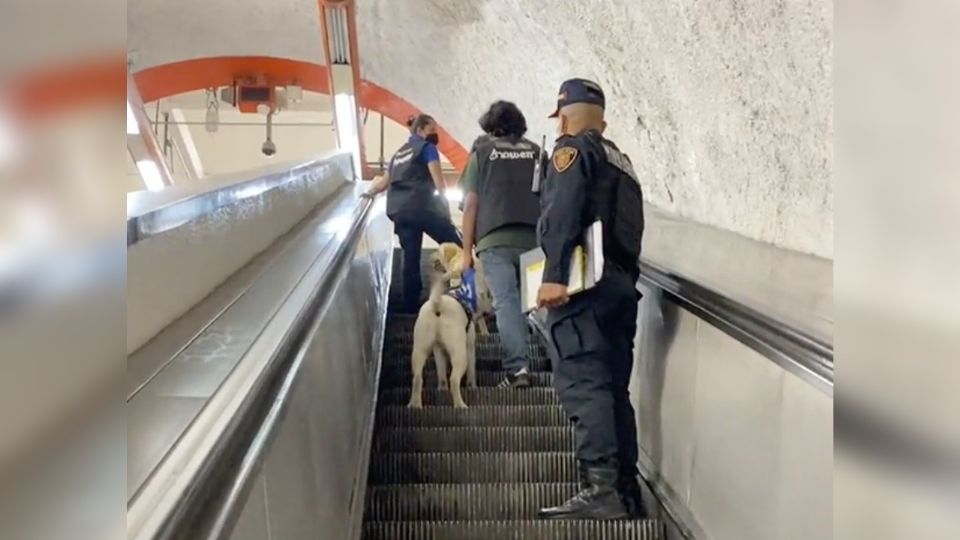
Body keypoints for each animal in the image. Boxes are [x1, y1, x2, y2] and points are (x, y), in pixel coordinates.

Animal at [408, 243, 492, 408]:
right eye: (487, 296)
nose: (488, 312)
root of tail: (437, 305)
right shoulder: (469, 347)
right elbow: (472, 371)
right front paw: (472, 387)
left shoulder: (438, 350)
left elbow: (441, 375)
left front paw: (442, 389)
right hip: (460, 354)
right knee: (454, 380)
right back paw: (460, 404)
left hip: (419, 349)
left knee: (417, 378)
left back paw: (415, 405)